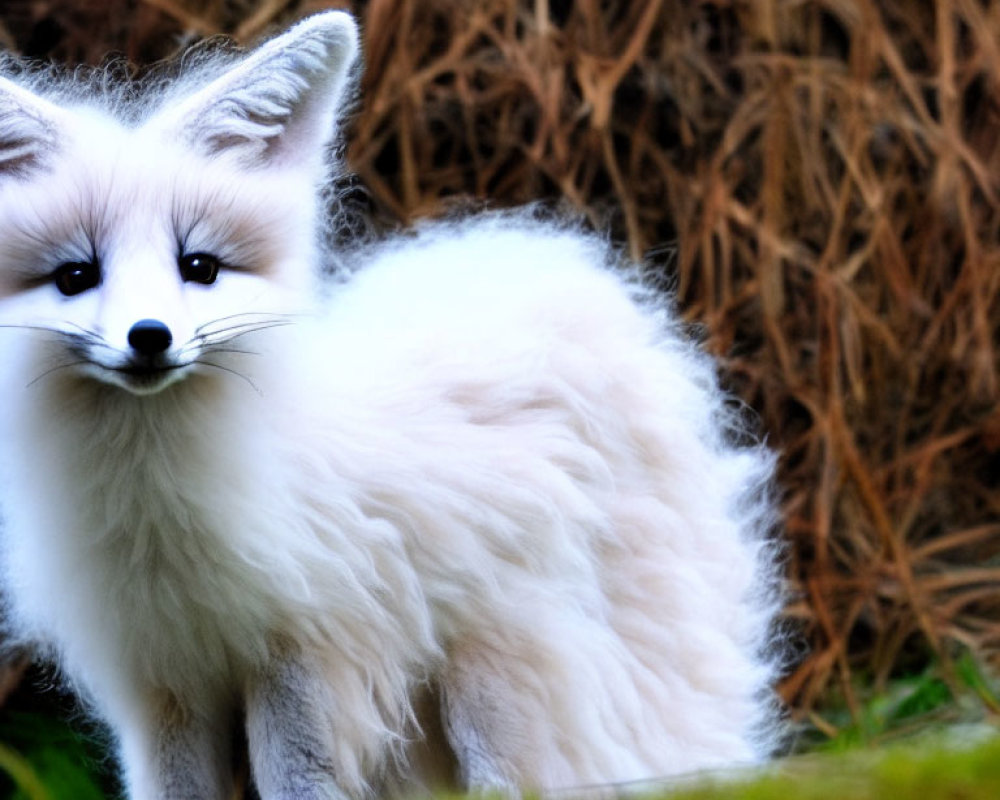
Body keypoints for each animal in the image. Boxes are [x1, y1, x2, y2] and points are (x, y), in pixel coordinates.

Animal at [0, 10, 780, 800]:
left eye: (199, 267)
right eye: (76, 276)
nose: (150, 338)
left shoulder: (306, 654)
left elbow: (300, 780)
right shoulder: (164, 684)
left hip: (501, 688)